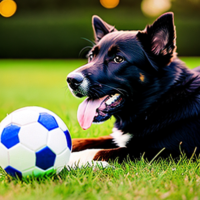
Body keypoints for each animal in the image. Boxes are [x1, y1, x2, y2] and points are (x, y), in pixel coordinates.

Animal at [66, 11, 200, 167]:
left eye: (118, 59)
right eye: (92, 56)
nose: (71, 80)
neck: (159, 101)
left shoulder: (167, 152)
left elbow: (97, 152)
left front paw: (69, 159)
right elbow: (86, 141)